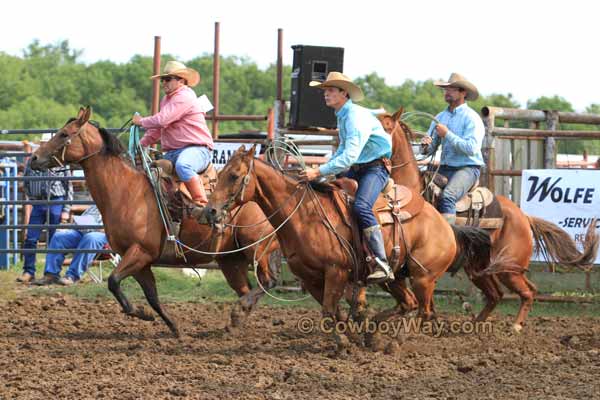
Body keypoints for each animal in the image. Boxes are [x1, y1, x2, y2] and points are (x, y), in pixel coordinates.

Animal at [32, 106, 284, 334]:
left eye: (64, 134)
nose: (34, 157)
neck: (125, 191)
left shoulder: (140, 251)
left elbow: (113, 281)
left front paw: (139, 312)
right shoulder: (139, 260)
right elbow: (151, 296)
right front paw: (169, 325)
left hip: (257, 248)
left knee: (268, 282)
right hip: (231, 261)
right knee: (245, 289)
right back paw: (236, 322)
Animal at [204, 144, 500, 338]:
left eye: (233, 175)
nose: (210, 211)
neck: (303, 216)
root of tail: (446, 225)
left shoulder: (336, 272)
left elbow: (328, 312)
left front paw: (343, 342)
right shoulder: (312, 278)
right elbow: (334, 313)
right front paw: (352, 333)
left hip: (423, 278)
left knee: (423, 311)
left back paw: (393, 340)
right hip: (395, 278)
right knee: (409, 304)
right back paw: (372, 330)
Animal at [382, 108, 596, 330]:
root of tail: (523, 216)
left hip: (508, 268)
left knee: (527, 291)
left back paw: (515, 326)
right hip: (480, 268)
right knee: (497, 294)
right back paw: (476, 325)